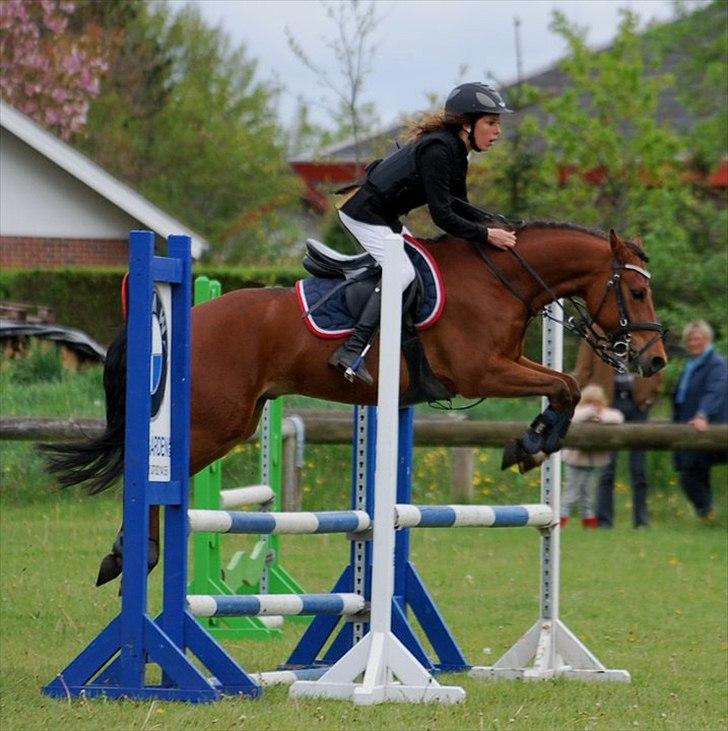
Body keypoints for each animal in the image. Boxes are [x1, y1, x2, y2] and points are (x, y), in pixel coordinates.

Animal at [41, 222, 667, 584]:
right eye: (636, 291)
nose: (656, 361)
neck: (500, 279)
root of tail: (181, 320)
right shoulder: (480, 371)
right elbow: (563, 385)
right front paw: (530, 444)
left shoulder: (503, 365)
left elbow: (562, 385)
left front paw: (533, 444)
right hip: (214, 424)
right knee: (152, 474)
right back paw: (130, 555)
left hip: (233, 422)